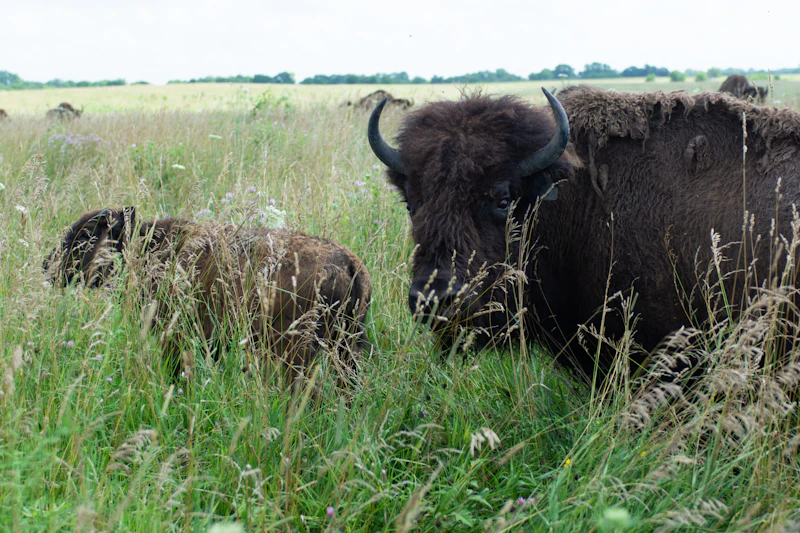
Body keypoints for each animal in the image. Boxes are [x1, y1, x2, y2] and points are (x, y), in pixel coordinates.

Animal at [45, 208, 372, 386]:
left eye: (86, 234)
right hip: (346, 352)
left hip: (297, 355)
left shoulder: (173, 338)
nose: (47, 265)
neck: (148, 248)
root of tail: (350, 264)